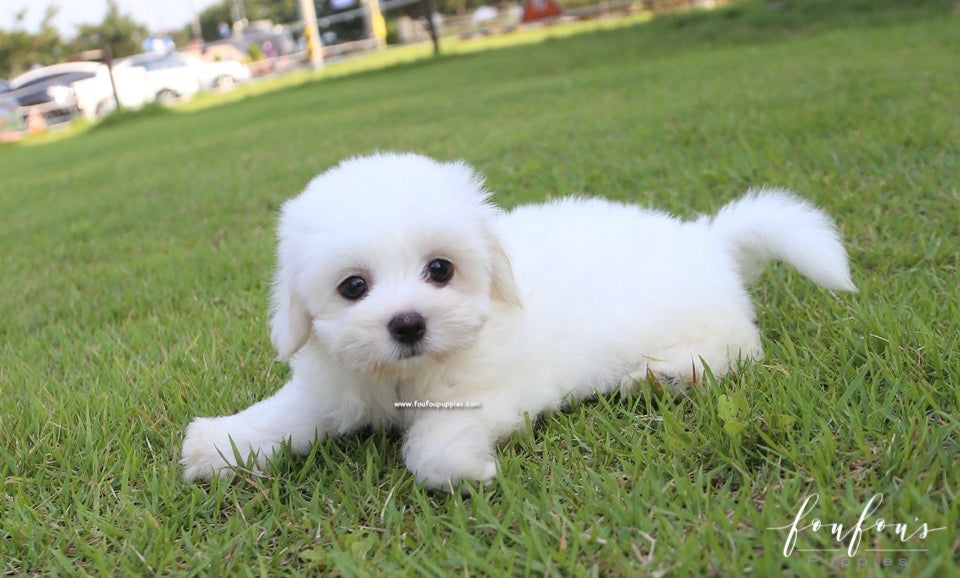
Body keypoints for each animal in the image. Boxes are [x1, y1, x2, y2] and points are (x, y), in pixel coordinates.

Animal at [182, 151, 856, 488]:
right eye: (353, 287)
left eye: (440, 270)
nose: (406, 324)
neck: (405, 375)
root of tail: (709, 239)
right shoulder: (332, 384)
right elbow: (283, 416)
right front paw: (218, 445)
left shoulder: (497, 392)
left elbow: (435, 444)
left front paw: (466, 469)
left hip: (702, 320)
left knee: (740, 347)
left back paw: (673, 373)